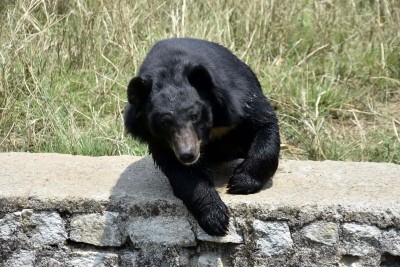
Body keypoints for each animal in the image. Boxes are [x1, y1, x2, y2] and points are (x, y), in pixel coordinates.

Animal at [123, 37, 280, 237]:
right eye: (164, 123)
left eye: (194, 115)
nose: (188, 154)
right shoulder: (160, 141)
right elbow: (183, 173)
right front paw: (216, 218)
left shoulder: (239, 98)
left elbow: (264, 124)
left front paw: (241, 183)